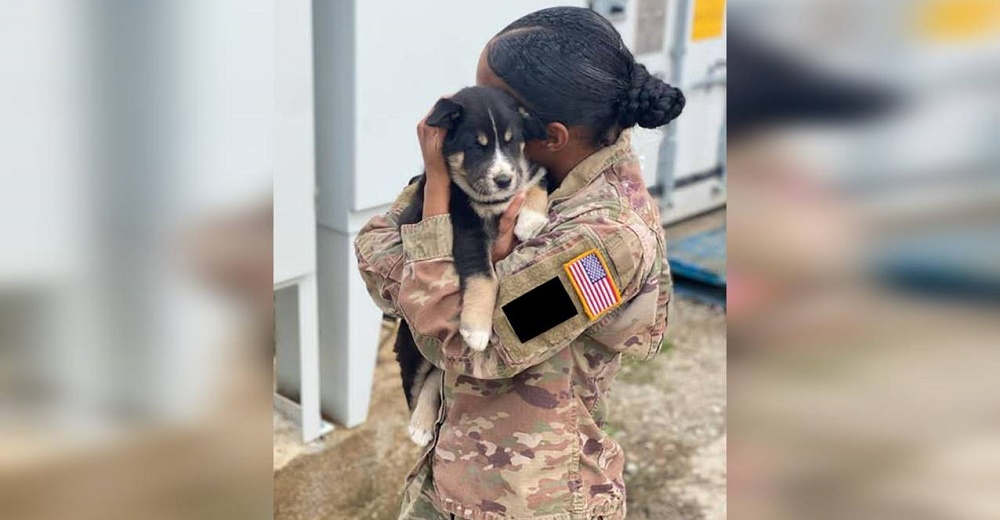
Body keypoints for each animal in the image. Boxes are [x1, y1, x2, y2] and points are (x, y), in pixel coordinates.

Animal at [394, 87, 552, 444]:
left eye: (511, 141)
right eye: (476, 146)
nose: (504, 179)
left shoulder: (530, 171)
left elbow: (537, 180)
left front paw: (530, 219)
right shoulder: (466, 229)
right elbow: (484, 278)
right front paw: (476, 330)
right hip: (412, 348)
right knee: (426, 377)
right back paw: (420, 425)